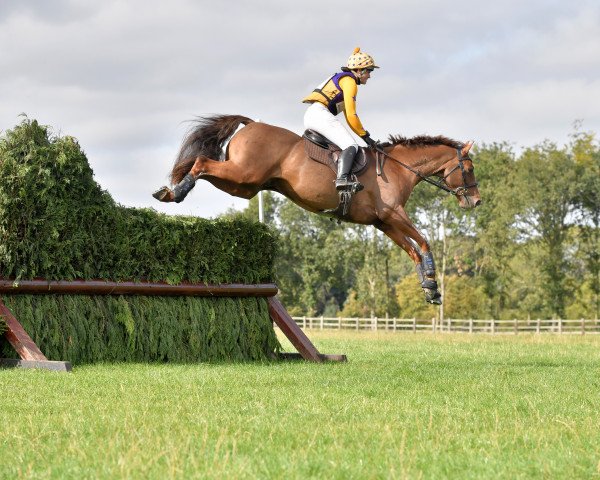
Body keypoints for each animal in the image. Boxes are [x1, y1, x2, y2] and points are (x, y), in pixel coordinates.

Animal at [155, 114, 482, 304]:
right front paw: (432, 279)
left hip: (244, 185)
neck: (399, 168)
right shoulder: (393, 215)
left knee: (206, 168)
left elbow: (413, 250)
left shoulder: (384, 222)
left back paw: (172, 191)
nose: (476, 201)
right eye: (469, 169)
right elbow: (424, 241)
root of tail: (252, 124)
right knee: (201, 162)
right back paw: (175, 192)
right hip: (244, 174)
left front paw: (430, 287)